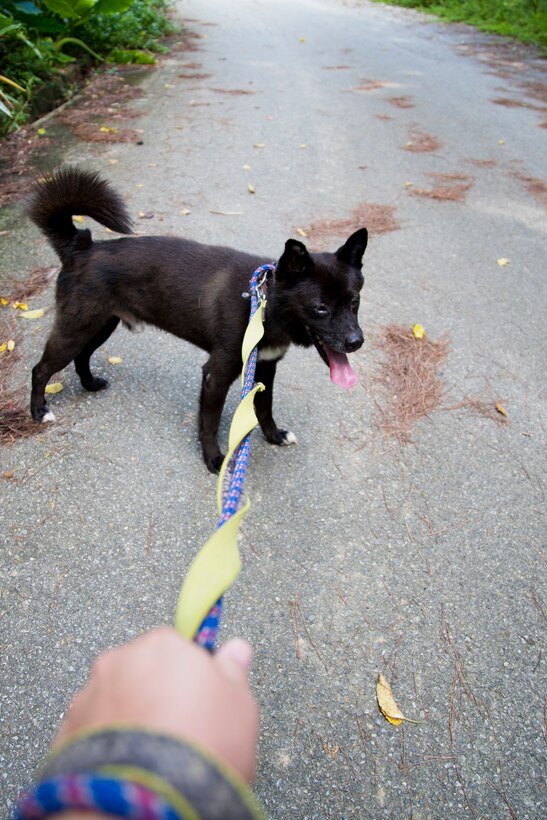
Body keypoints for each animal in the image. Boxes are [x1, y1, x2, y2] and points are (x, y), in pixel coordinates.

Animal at [26, 167, 368, 474]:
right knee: (40, 369)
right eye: (320, 308)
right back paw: (39, 411)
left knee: (82, 356)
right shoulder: (215, 375)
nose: (356, 342)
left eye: (355, 302)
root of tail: (81, 247)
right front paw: (214, 459)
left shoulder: (265, 368)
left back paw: (90, 384)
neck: (262, 304)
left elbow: (264, 408)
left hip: (98, 326)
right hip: (76, 328)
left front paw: (274, 436)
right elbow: (210, 423)